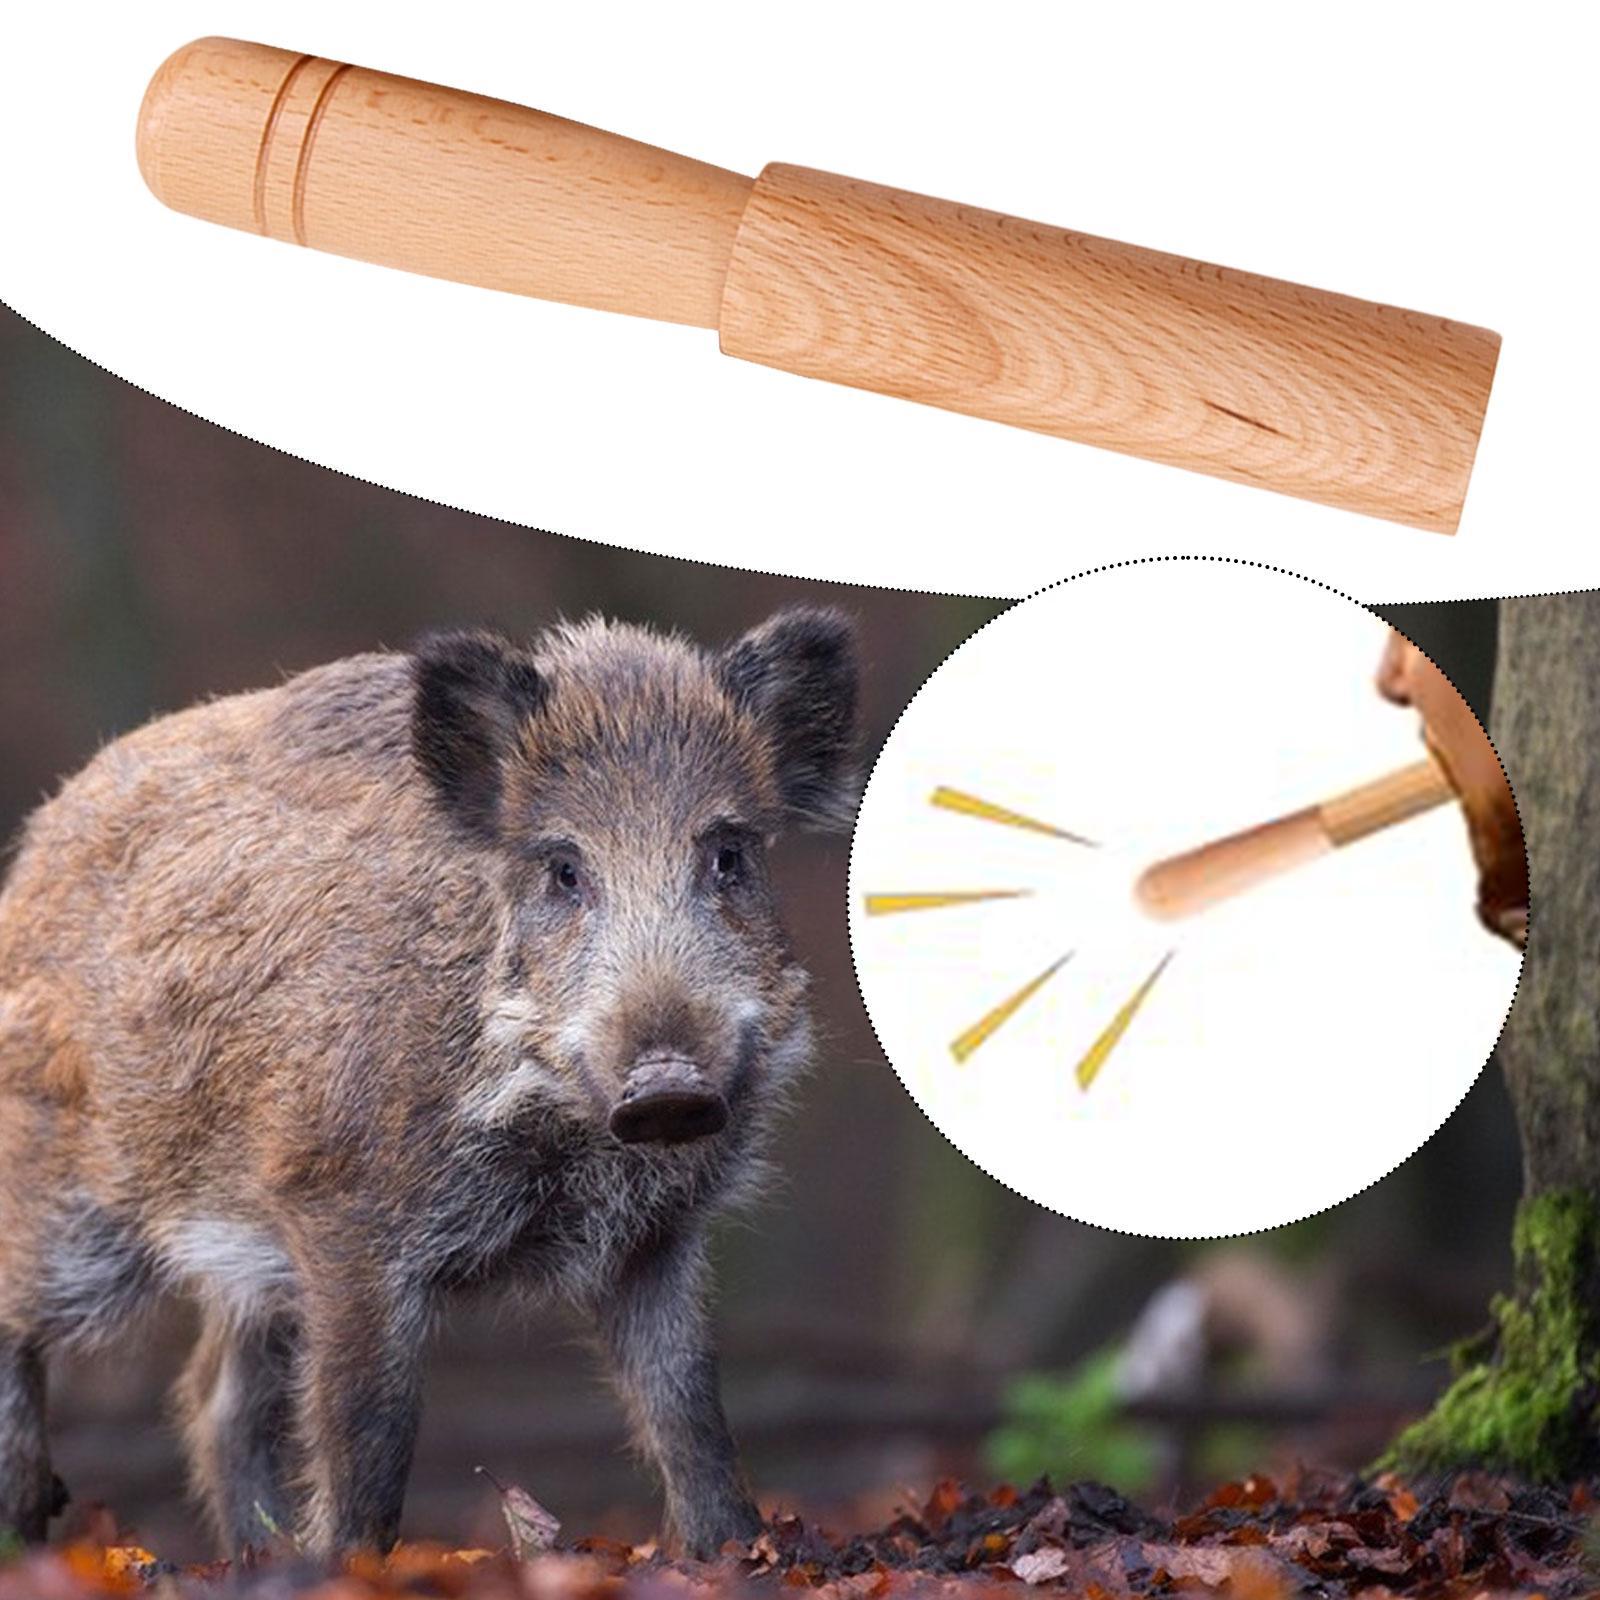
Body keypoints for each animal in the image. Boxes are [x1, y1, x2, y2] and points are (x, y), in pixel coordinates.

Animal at [0, 606, 859, 1559]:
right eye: (564, 868)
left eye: (729, 854)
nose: (666, 1084)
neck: (560, 1138)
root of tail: (37, 844)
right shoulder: (343, 1211)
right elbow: (368, 1423)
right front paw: (347, 1563)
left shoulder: (657, 1237)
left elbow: (688, 1405)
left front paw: (732, 1553)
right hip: (72, 1190)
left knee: (214, 1394)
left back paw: (255, 1557)